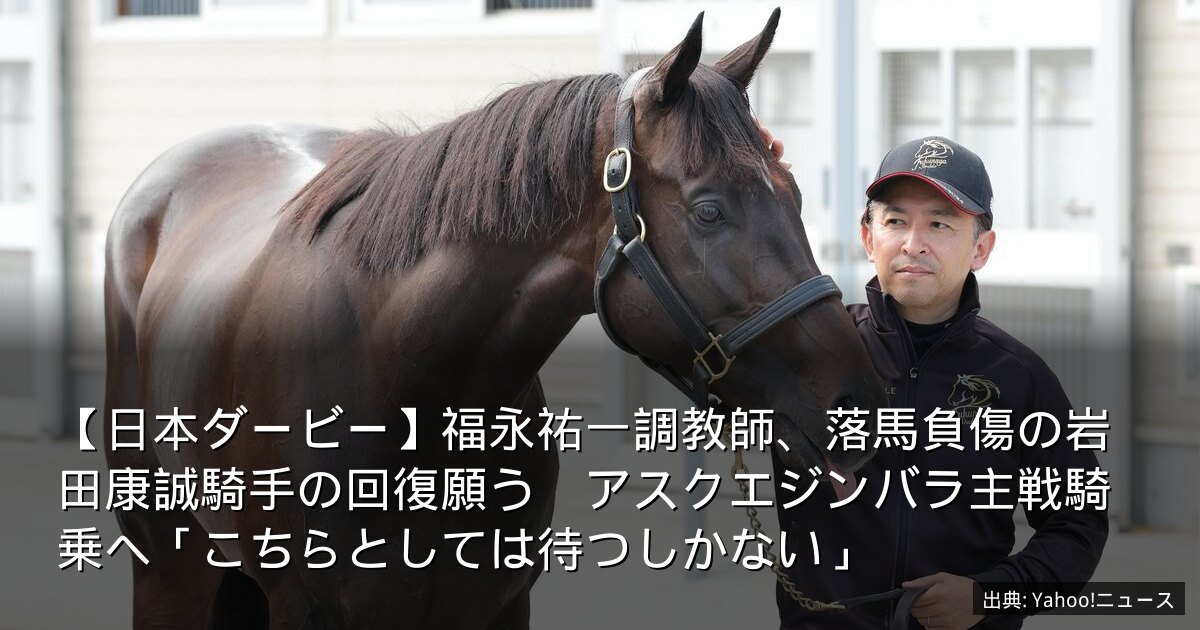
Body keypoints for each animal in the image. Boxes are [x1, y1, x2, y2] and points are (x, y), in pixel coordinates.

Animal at [103, 10, 885, 629]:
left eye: (795, 195)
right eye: (709, 209)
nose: (858, 405)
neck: (406, 389)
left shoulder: (496, 605)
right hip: (168, 563)